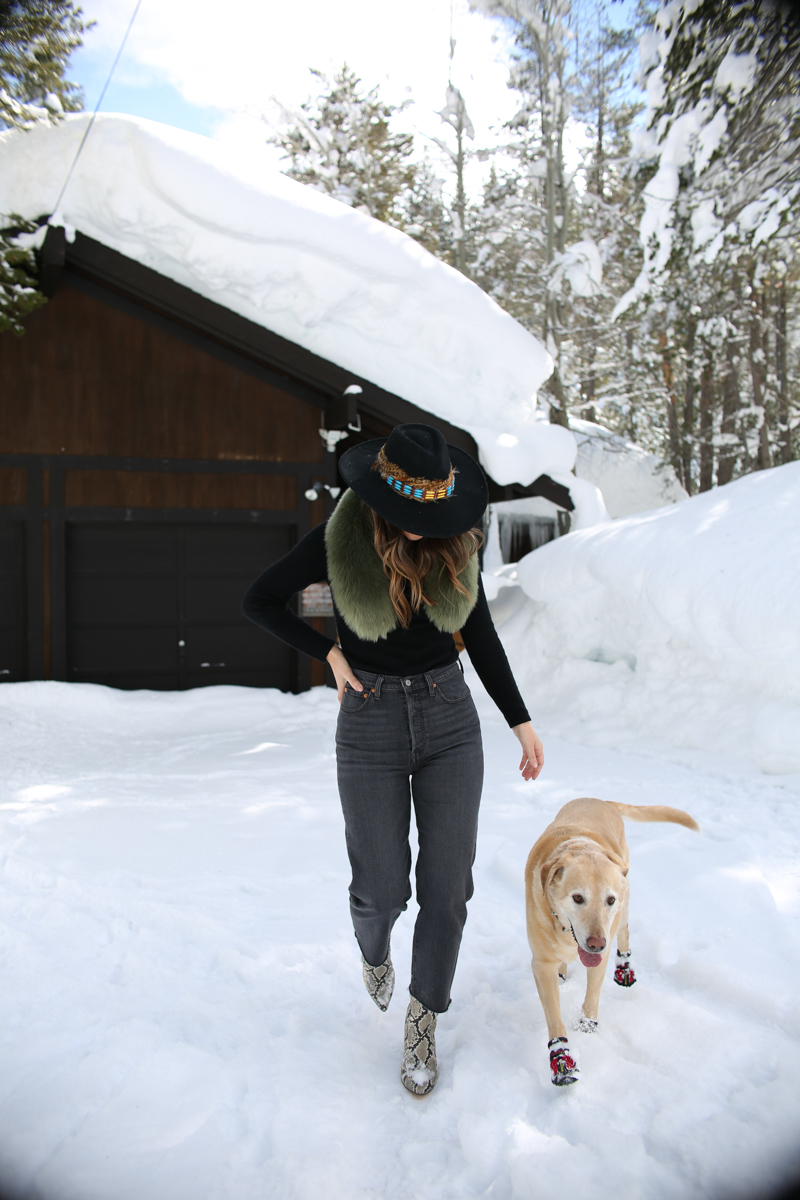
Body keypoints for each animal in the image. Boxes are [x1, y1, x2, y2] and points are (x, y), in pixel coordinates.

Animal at [522, 796, 695, 1089]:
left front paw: (587, 1024)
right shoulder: (541, 964)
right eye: (577, 898)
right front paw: (563, 1060)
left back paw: (624, 968)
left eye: (609, 899)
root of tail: (599, 799)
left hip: (625, 905)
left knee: (624, 932)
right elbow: (554, 1016)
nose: (597, 944)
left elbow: (592, 994)